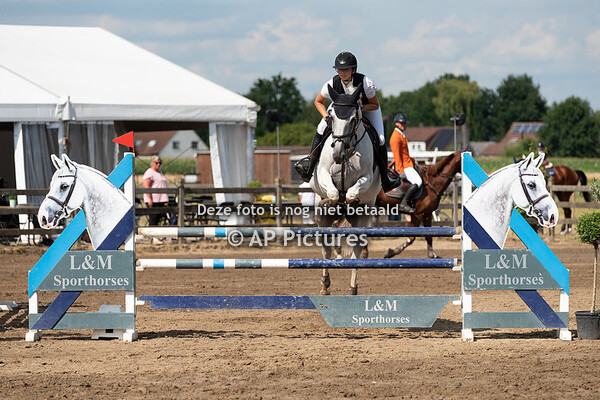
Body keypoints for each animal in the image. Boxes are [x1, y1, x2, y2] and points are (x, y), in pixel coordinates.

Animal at [310, 83, 380, 295]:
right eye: (332, 117)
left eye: (353, 119)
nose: (338, 154)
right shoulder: (323, 172)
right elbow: (333, 193)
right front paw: (331, 202)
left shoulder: (366, 177)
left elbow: (351, 193)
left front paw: (351, 201)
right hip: (322, 222)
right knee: (326, 249)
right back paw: (325, 286)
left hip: (363, 221)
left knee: (357, 251)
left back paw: (352, 288)